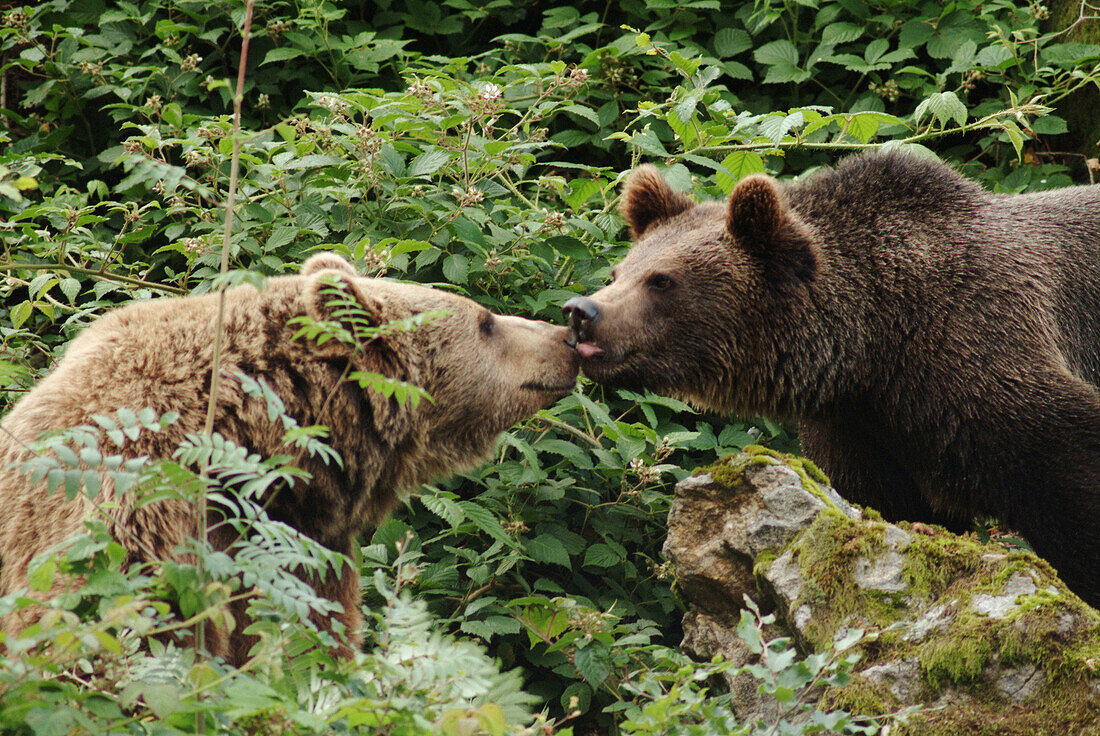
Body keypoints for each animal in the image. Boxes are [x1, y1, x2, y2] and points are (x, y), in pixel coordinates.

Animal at [563, 150, 1100, 607]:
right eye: (619, 271)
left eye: (662, 281)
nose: (580, 311)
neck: (874, 346)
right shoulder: (862, 432)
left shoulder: (984, 357)